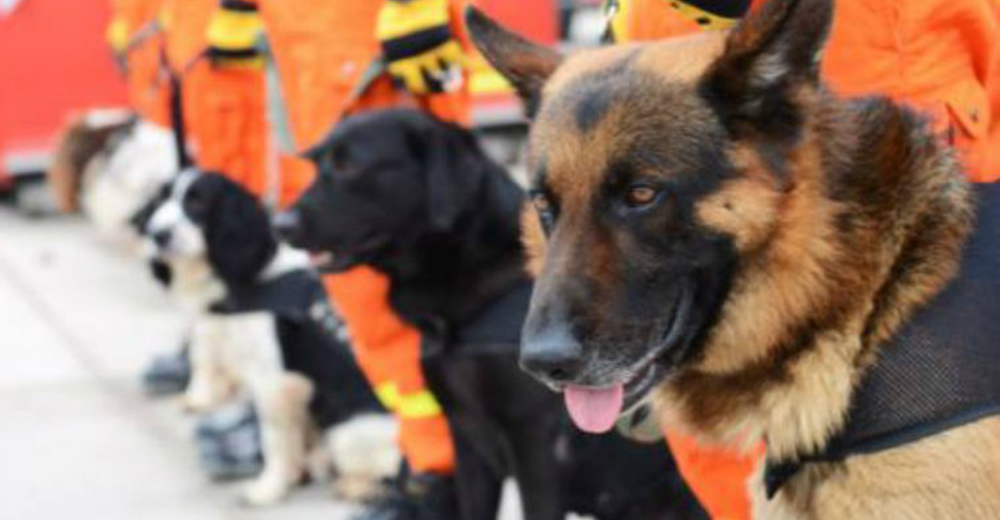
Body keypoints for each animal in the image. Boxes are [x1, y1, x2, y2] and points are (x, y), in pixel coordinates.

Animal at [142, 171, 398, 504]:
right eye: (161, 199)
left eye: (198, 203)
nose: (157, 234)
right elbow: (204, 355)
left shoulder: (271, 382)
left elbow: (275, 441)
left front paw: (269, 488)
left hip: (350, 427)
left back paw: (358, 484)